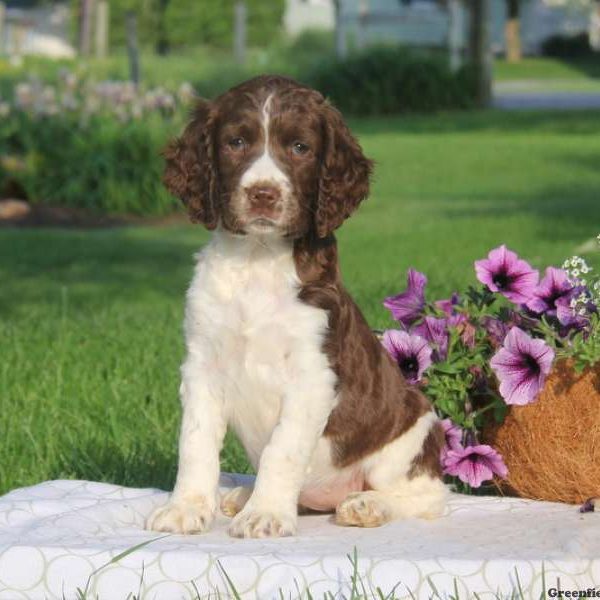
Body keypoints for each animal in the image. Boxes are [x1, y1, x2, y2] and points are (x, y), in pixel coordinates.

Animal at [145, 75, 446, 540]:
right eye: (235, 142)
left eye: (300, 147)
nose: (263, 195)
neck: (258, 259)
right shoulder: (202, 367)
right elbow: (195, 444)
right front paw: (186, 507)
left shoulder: (312, 374)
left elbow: (281, 449)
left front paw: (266, 514)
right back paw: (241, 496)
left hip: (412, 430)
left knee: (428, 496)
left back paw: (367, 505)